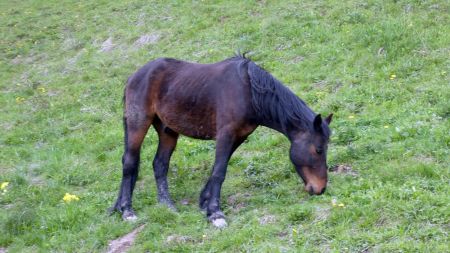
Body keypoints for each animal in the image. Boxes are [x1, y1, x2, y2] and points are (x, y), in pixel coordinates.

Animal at [110, 54, 332, 228]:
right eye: (319, 150)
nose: (320, 189)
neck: (248, 91)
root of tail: (134, 76)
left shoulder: (239, 136)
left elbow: (217, 169)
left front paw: (205, 203)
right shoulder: (226, 134)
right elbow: (219, 172)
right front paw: (216, 214)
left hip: (167, 131)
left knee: (160, 164)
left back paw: (167, 205)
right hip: (138, 123)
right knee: (129, 162)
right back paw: (127, 210)